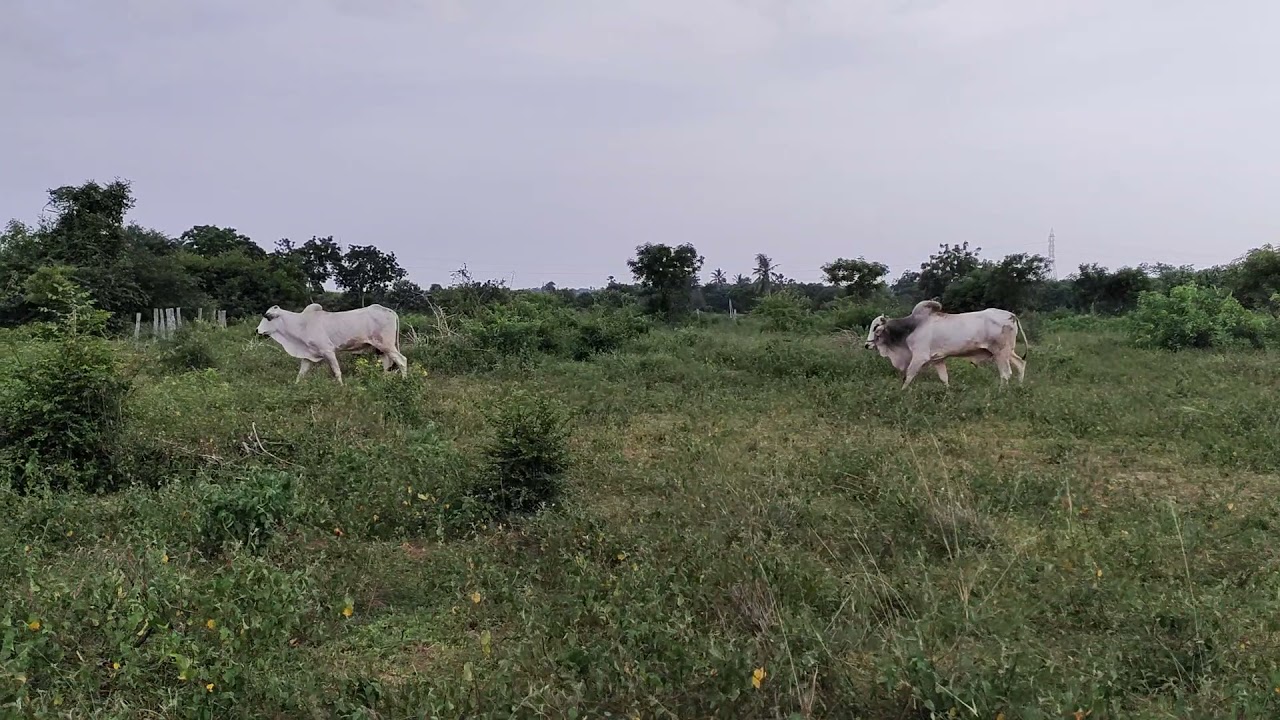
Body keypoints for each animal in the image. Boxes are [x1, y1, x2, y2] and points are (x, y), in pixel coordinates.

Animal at [255, 303, 408, 384]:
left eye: (268, 317)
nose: (257, 330)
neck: (302, 324)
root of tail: (389, 310)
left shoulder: (328, 351)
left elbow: (337, 371)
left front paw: (341, 387)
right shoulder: (308, 355)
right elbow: (301, 373)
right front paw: (295, 386)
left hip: (387, 345)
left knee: (402, 361)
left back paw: (405, 380)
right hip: (381, 349)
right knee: (387, 364)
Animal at [863, 300, 1028, 389]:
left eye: (875, 327)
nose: (867, 345)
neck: (912, 327)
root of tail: (1011, 315)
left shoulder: (919, 357)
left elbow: (908, 376)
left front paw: (902, 392)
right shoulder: (938, 359)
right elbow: (944, 378)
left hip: (1000, 353)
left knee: (1005, 373)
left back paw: (1001, 392)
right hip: (1008, 351)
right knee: (1020, 364)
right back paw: (1019, 387)